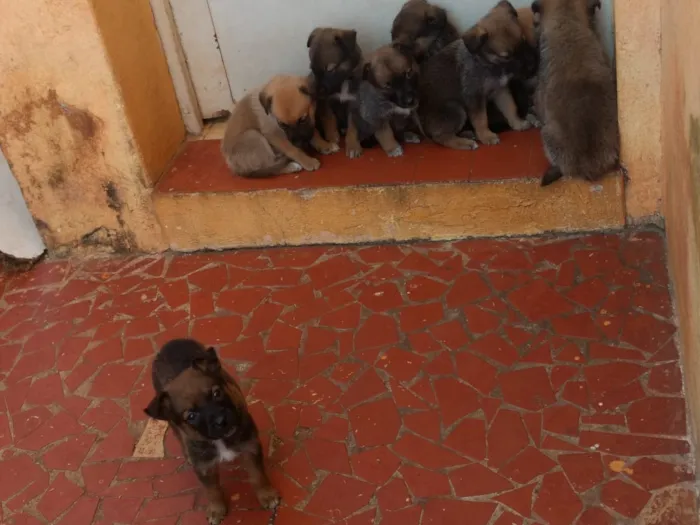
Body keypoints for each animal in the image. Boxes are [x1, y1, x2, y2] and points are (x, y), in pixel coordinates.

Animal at [145, 340, 278, 524]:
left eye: (217, 393)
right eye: (191, 416)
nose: (221, 421)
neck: (220, 439)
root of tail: (171, 343)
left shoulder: (250, 446)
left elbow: (258, 475)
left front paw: (266, 494)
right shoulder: (204, 466)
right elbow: (212, 490)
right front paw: (216, 510)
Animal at [422, 2, 536, 149]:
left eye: (523, 41)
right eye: (506, 57)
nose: (532, 66)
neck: (489, 64)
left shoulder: (500, 91)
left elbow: (511, 107)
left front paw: (518, 123)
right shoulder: (475, 97)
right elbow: (481, 119)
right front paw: (486, 136)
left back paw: (467, 134)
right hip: (455, 108)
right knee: (440, 137)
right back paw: (464, 143)